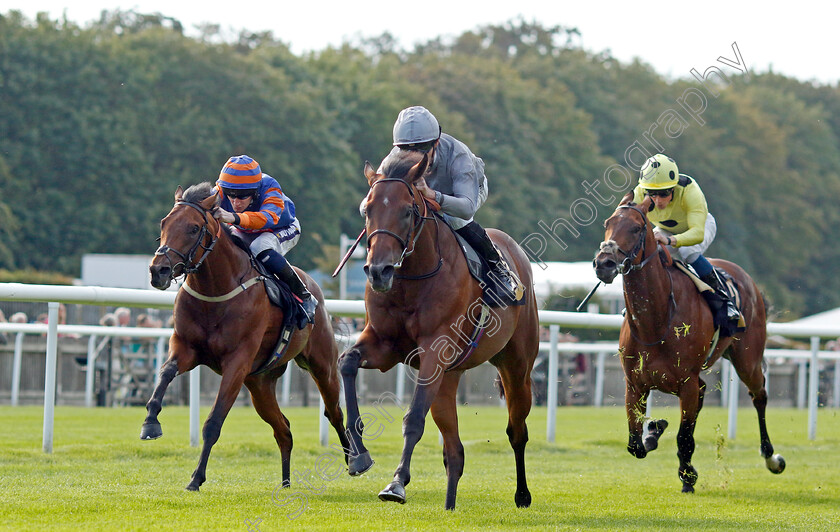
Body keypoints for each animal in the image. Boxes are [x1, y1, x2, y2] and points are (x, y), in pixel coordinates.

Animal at [334, 151, 540, 512]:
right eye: (367, 209)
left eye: (407, 210)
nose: (378, 271)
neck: (411, 280)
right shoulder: (385, 345)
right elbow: (346, 362)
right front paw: (358, 455)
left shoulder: (434, 351)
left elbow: (414, 418)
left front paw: (396, 483)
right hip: (450, 377)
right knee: (454, 451)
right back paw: (449, 504)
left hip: (516, 366)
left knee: (517, 431)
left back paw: (522, 495)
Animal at [592, 193, 784, 492]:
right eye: (607, 223)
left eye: (636, 228)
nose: (604, 263)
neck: (655, 322)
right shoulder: (634, 385)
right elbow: (635, 444)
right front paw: (654, 431)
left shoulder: (686, 383)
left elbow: (683, 437)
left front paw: (688, 476)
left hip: (747, 359)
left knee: (759, 395)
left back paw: (771, 457)